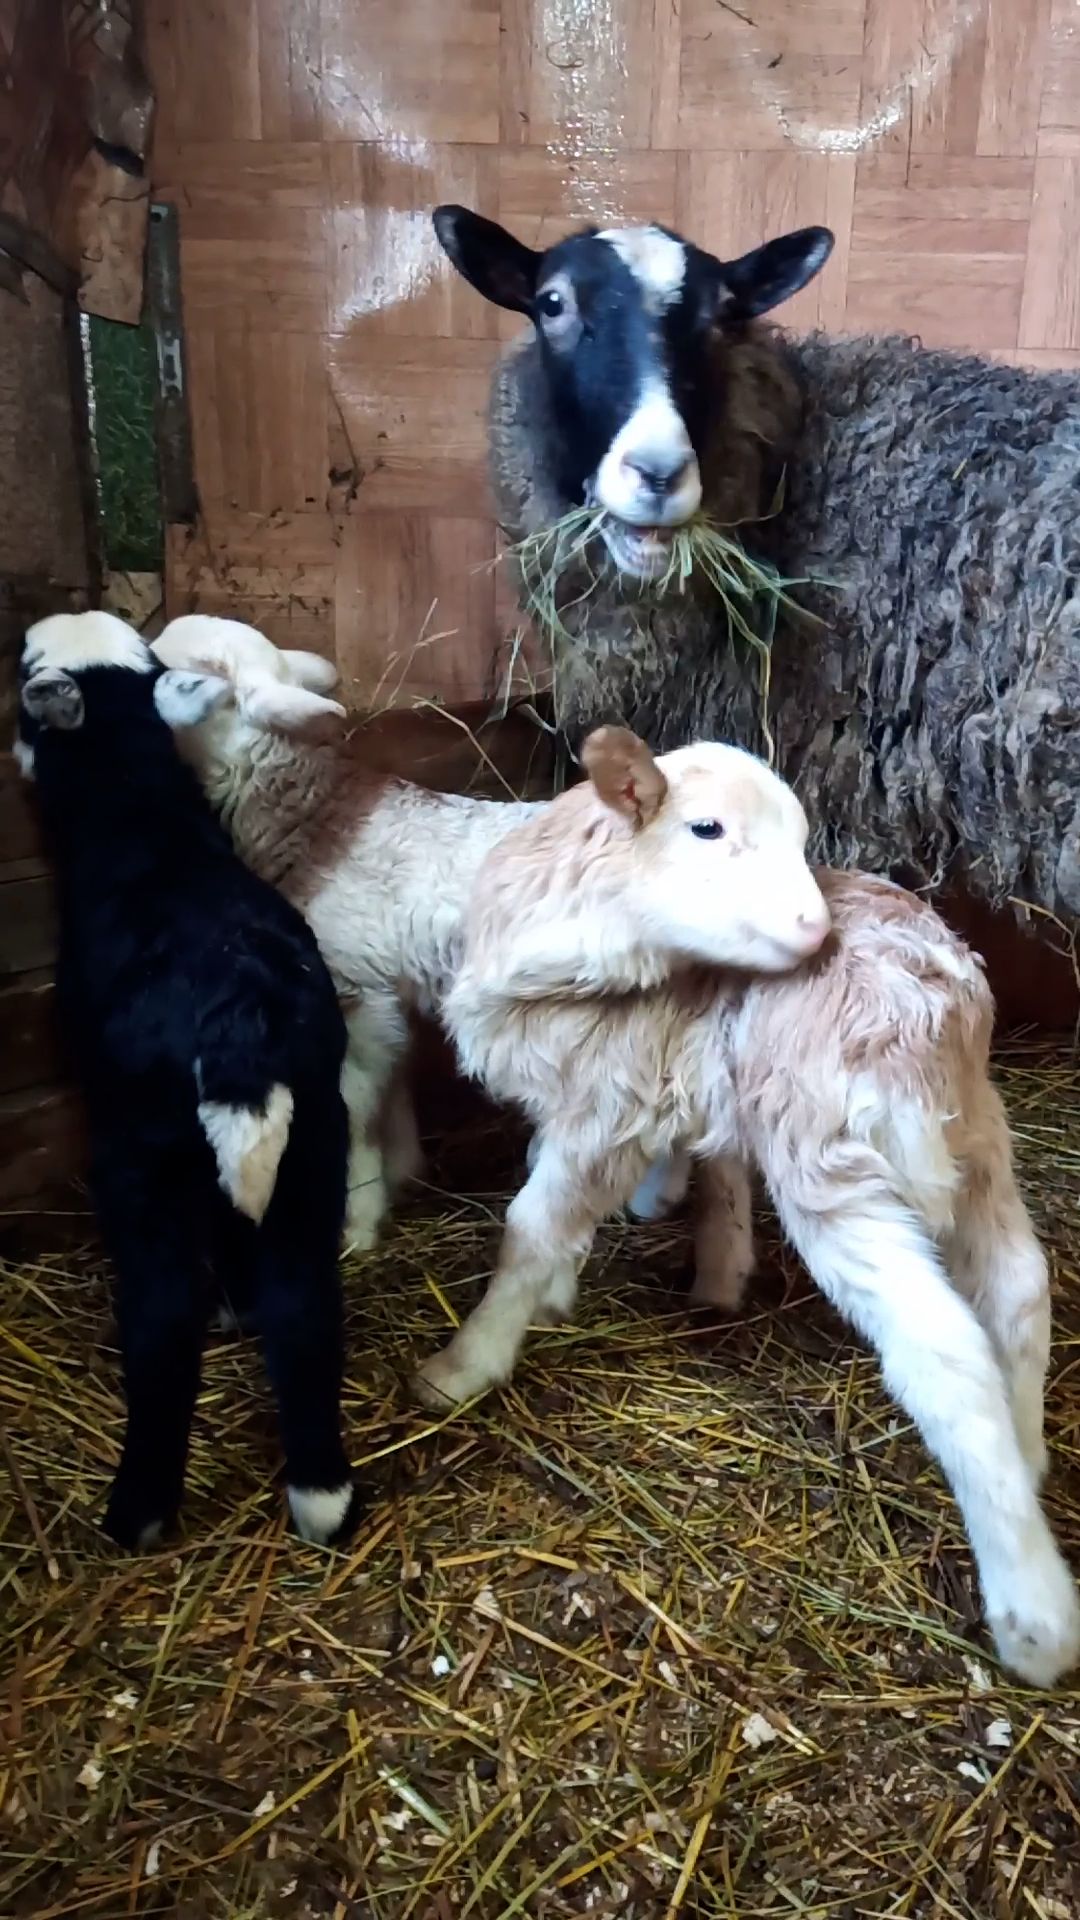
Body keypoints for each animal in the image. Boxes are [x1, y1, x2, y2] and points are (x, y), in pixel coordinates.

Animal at [16, 610, 360, 1551]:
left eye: (22, 668)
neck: (142, 817)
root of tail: (237, 1020)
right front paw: (239, 1304)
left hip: (146, 1157)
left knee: (164, 1322)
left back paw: (137, 1511)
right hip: (317, 1136)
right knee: (305, 1306)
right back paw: (323, 1497)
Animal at [148, 614, 703, 1242]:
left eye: (174, 671)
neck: (313, 820)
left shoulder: (352, 987)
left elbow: (356, 1106)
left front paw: (357, 1221)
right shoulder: (387, 990)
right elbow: (393, 1085)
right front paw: (402, 1171)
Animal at [425, 724, 1079, 1687]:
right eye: (706, 828)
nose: (813, 927)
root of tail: (934, 993)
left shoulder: (606, 1101)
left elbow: (532, 1227)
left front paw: (469, 1361)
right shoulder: (657, 1087)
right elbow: (697, 1175)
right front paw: (702, 1261)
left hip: (831, 1164)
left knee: (947, 1353)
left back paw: (1033, 1613)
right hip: (977, 1134)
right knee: (1020, 1287)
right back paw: (1030, 1457)